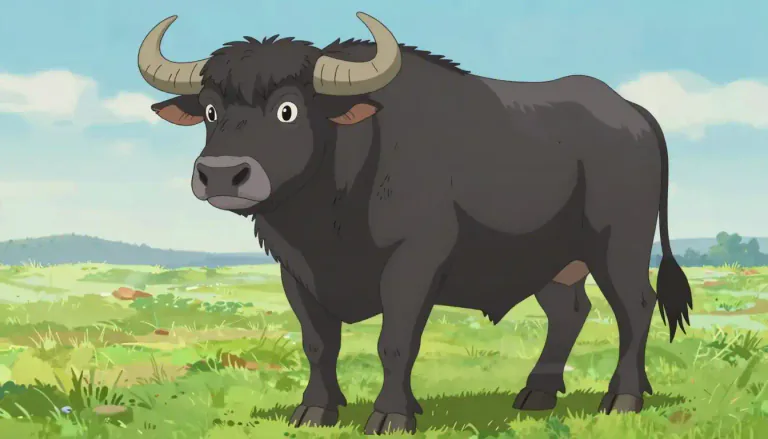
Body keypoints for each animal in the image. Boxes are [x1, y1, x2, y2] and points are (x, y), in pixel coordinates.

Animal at [136, 12, 693, 435]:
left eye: (288, 109)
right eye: (210, 111)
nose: (221, 174)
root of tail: (631, 111)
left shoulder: (414, 263)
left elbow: (396, 341)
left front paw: (392, 414)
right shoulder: (294, 271)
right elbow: (318, 343)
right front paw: (316, 409)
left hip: (619, 245)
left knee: (635, 307)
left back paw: (622, 399)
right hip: (552, 261)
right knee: (570, 311)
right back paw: (536, 393)